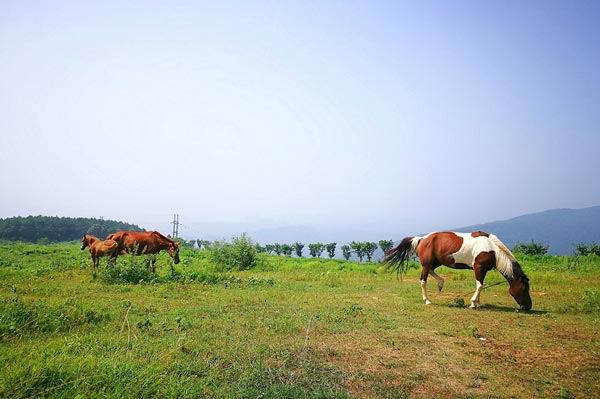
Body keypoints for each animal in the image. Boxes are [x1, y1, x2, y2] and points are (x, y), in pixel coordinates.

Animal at [382, 231, 532, 312]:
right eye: (524, 288)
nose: (529, 306)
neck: (492, 249)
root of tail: (422, 239)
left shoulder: (484, 269)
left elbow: (481, 285)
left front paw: (477, 303)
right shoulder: (478, 267)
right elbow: (480, 285)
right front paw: (473, 303)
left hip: (436, 262)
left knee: (430, 272)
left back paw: (441, 283)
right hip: (426, 263)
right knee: (423, 280)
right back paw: (427, 300)